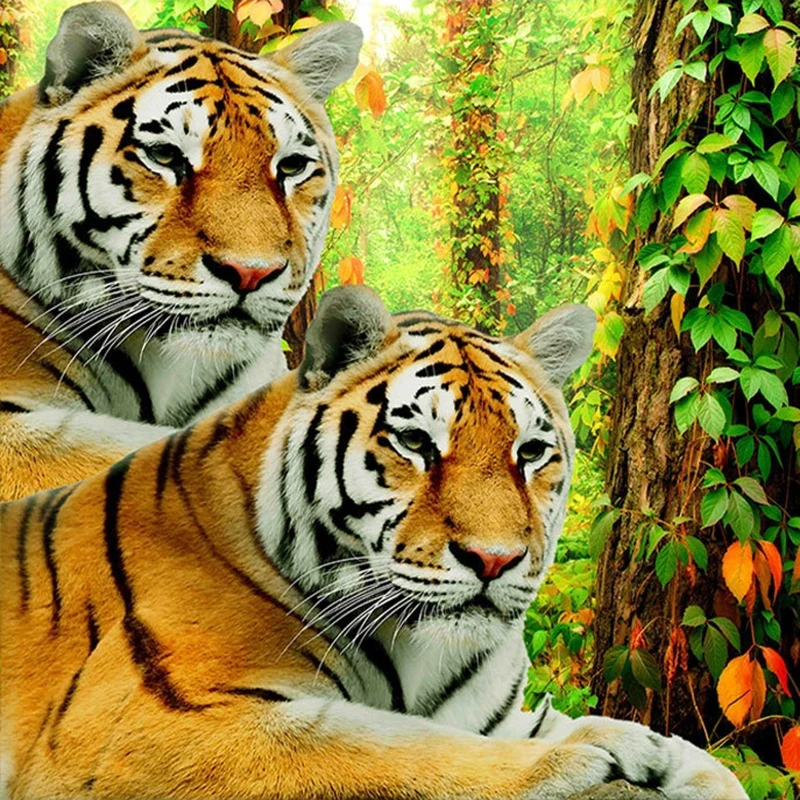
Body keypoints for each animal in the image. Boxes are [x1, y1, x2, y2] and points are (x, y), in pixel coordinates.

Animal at [0, 285, 745, 800]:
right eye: (415, 442)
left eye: (531, 452)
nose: (495, 560)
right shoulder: (146, 724)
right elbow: (400, 748)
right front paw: (596, 749)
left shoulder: (503, 716)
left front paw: (669, 756)